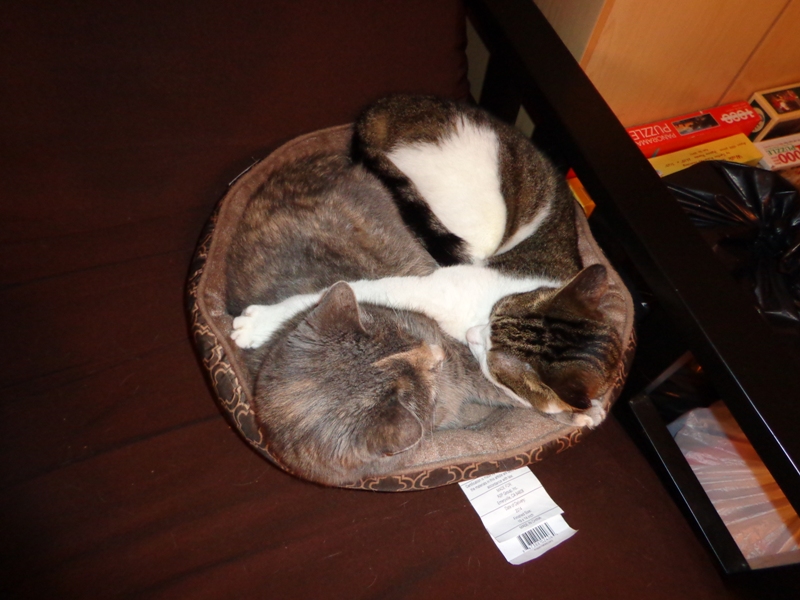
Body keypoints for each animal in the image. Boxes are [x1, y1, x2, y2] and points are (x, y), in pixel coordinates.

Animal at [233, 95, 623, 426]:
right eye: (497, 313)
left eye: (496, 362)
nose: (473, 334)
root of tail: (391, 105)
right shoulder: (433, 285)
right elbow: (339, 291)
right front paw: (260, 324)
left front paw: (585, 414)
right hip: (477, 222)